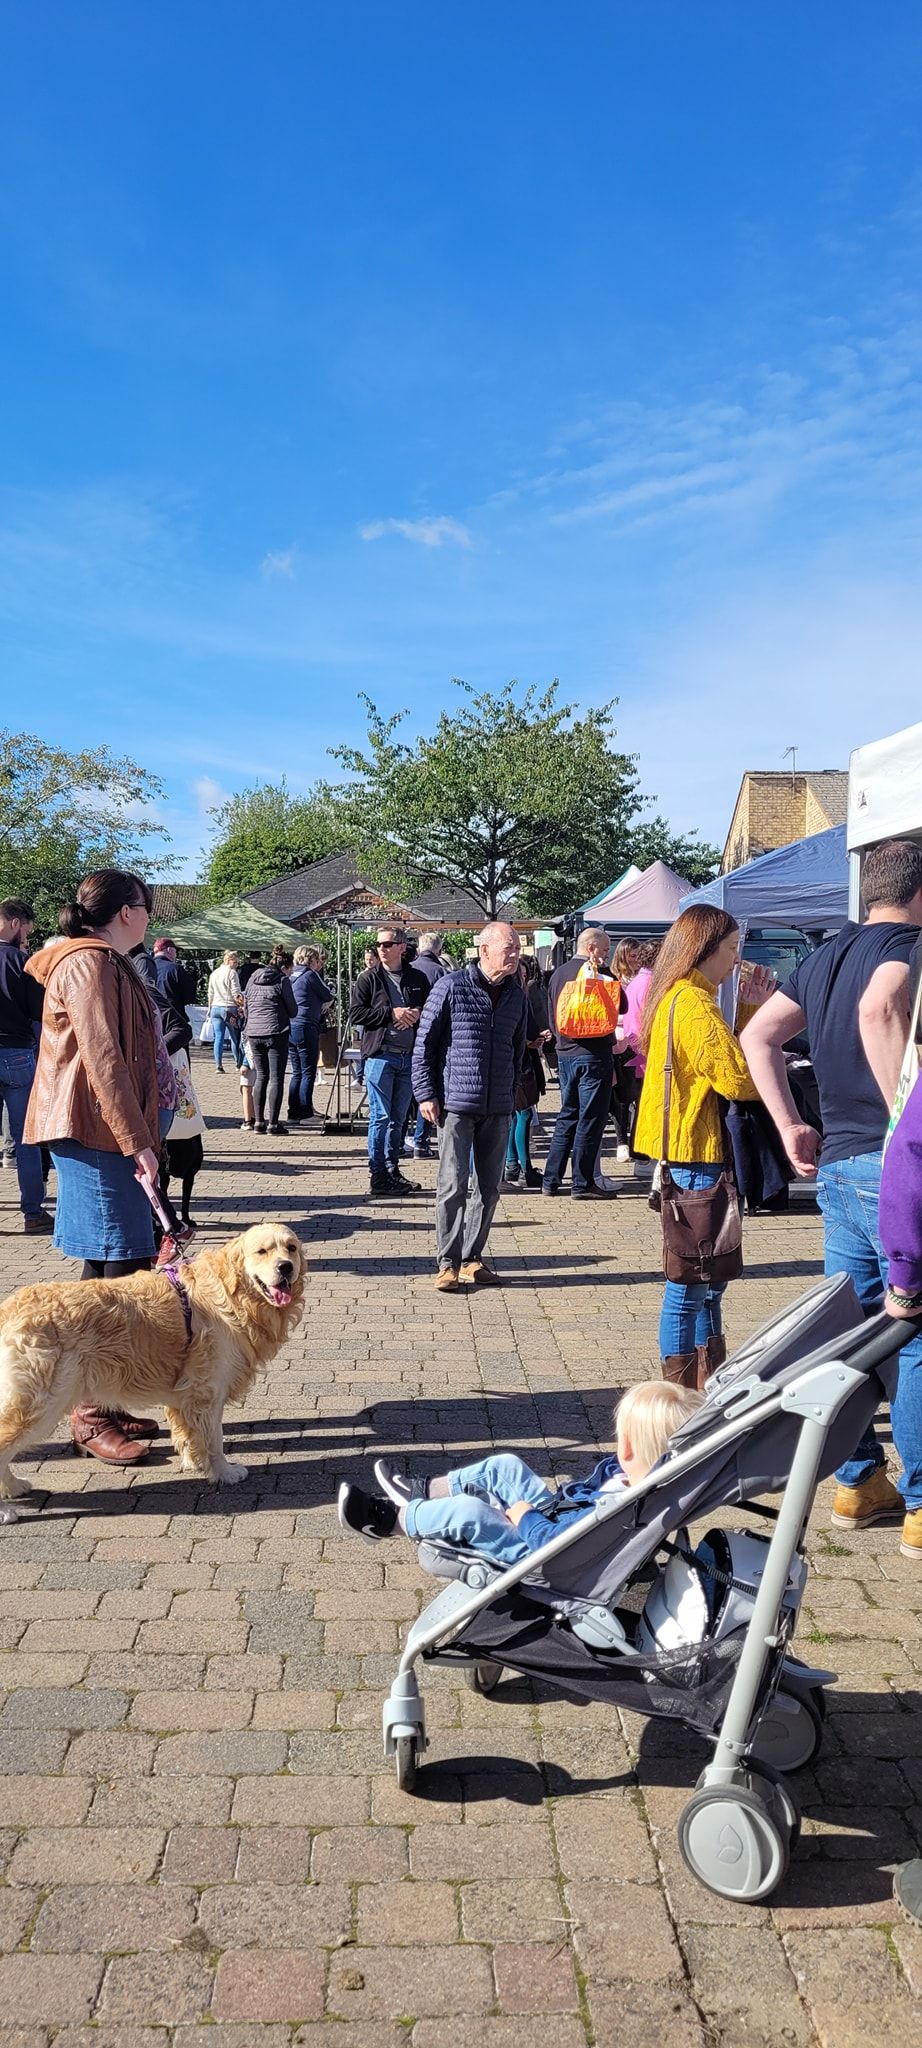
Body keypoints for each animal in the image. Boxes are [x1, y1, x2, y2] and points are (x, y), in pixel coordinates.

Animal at [0, 1220, 305, 1499]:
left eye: (291, 1248)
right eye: (262, 1251)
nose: (285, 1267)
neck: (234, 1296)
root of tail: (10, 1307)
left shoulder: (186, 1394)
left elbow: (188, 1434)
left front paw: (195, 1463)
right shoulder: (207, 1392)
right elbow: (214, 1440)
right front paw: (223, 1472)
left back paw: (14, 1487)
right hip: (41, 1401)